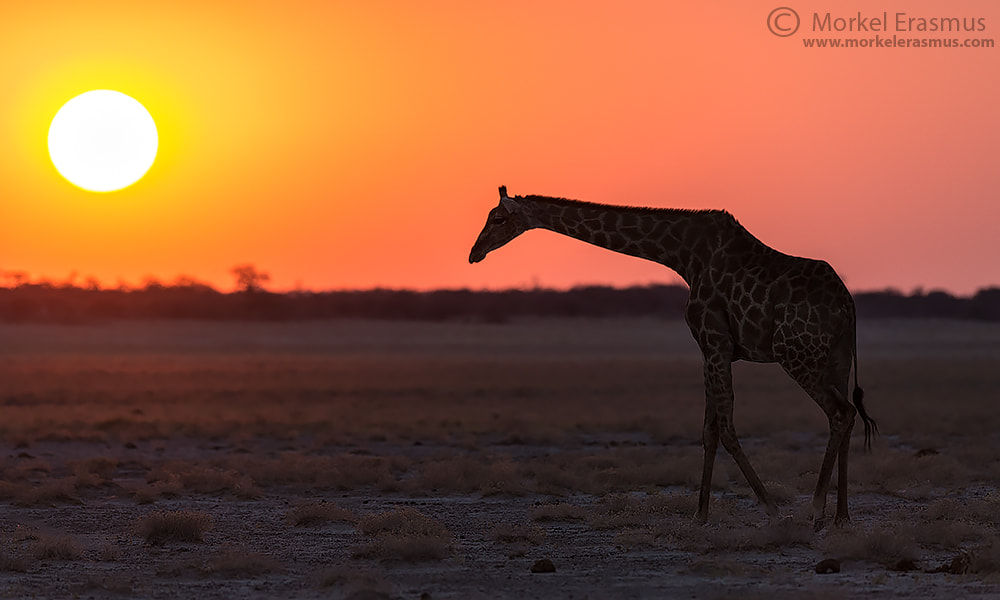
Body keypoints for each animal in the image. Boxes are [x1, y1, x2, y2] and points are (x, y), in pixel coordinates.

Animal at [468, 185, 876, 528]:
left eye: (498, 218)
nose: (474, 253)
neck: (683, 256)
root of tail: (848, 305)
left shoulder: (713, 342)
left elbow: (725, 429)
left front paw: (771, 508)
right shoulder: (712, 349)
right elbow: (709, 430)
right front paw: (701, 514)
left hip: (795, 354)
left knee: (840, 412)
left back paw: (816, 510)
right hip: (836, 358)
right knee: (846, 415)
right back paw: (842, 517)